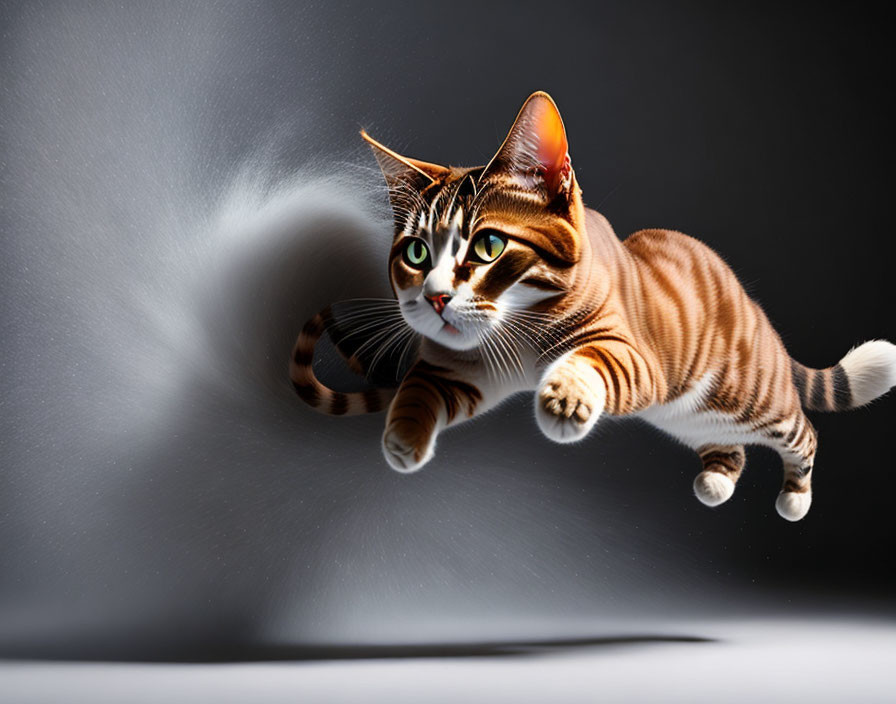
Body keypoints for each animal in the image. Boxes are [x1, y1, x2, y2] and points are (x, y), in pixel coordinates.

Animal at [290, 92, 892, 524]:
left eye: (488, 245)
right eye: (416, 253)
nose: (436, 296)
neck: (518, 333)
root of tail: (748, 300)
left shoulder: (634, 352)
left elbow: (596, 360)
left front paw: (566, 397)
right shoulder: (467, 364)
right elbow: (424, 384)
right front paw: (405, 435)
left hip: (749, 396)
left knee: (802, 431)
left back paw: (795, 497)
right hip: (697, 417)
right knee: (730, 448)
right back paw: (715, 482)